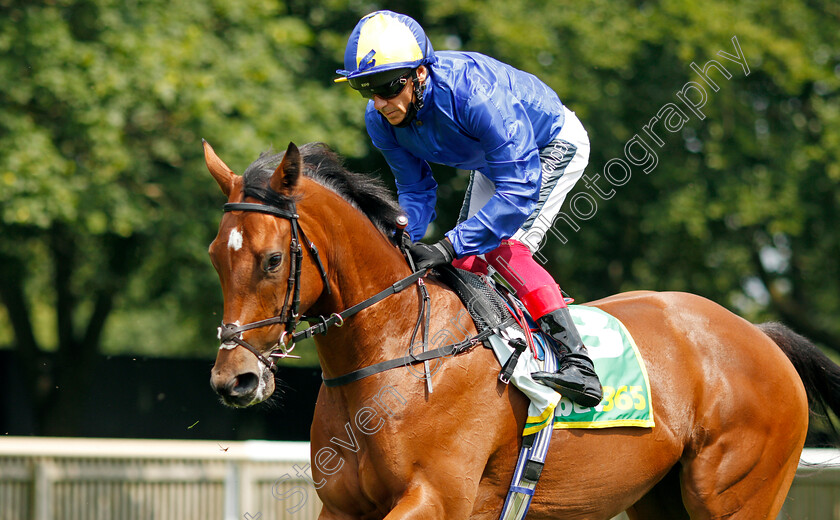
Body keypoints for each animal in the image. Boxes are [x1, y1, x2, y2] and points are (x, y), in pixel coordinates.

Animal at [203, 140, 840, 516]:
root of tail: (758, 335)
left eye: (272, 260)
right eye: (215, 256)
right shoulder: (342, 506)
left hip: (734, 494)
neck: (395, 348)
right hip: (661, 499)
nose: (233, 379)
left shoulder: (435, 498)